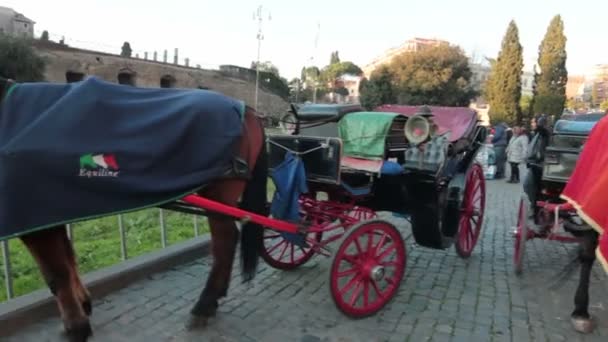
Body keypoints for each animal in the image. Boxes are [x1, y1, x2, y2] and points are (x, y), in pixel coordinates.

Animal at [0, 77, 268, 342]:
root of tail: (245, 109)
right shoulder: (55, 209)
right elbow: (68, 258)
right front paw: (83, 303)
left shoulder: (33, 211)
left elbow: (56, 273)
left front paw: (76, 325)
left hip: (218, 192)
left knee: (225, 239)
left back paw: (204, 303)